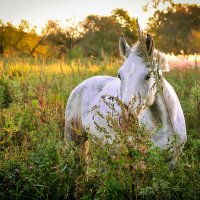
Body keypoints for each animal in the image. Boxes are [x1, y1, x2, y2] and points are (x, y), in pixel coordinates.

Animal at [65, 34, 187, 169]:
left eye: (148, 76)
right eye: (119, 75)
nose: (126, 120)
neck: (162, 125)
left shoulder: (171, 161)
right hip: (74, 141)